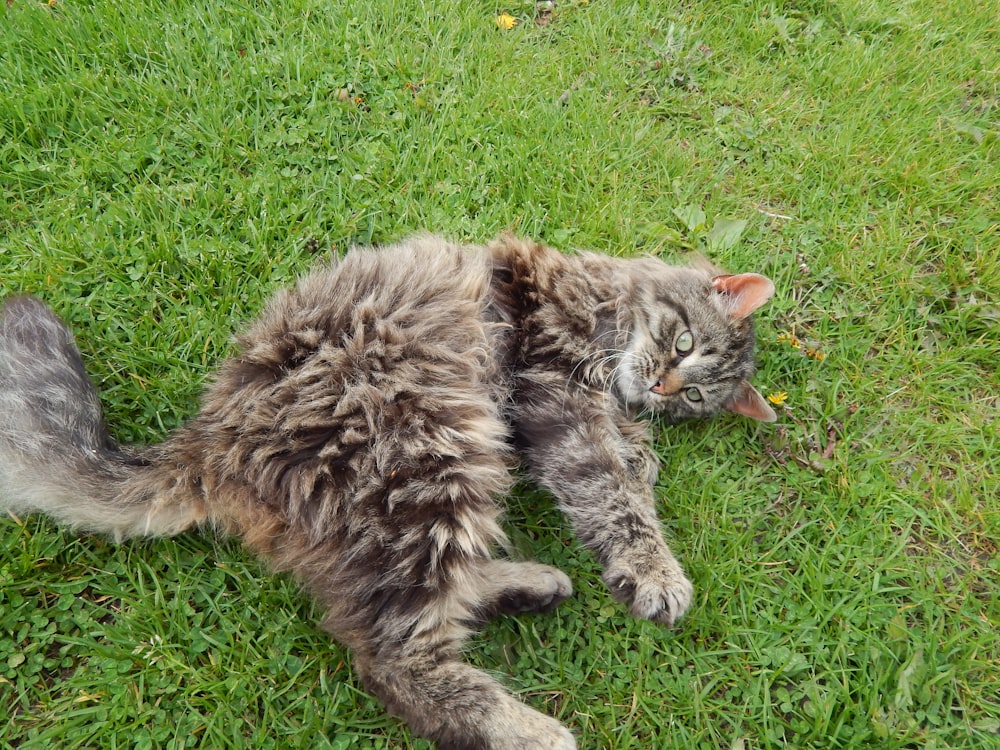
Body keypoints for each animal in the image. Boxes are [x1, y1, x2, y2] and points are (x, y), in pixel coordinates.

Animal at [0, 235, 772, 750]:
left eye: (695, 394)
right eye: (683, 346)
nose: (666, 387)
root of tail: (211, 438)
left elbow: (630, 465)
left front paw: (642, 455)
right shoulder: (553, 393)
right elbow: (612, 498)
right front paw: (653, 569)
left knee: (430, 602)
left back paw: (530, 586)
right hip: (430, 462)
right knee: (392, 659)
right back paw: (529, 729)